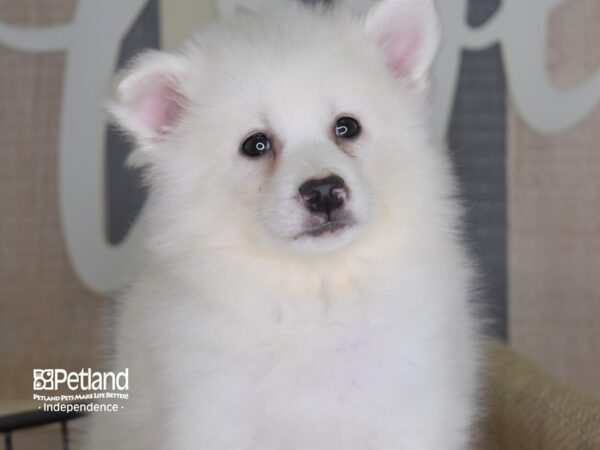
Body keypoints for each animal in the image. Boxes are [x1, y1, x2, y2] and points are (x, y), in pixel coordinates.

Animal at [84, 0, 480, 450]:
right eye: (255, 145)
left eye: (347, 126)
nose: (324, 191)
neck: (315, 289)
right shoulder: (213, 411)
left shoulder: (411, 403)